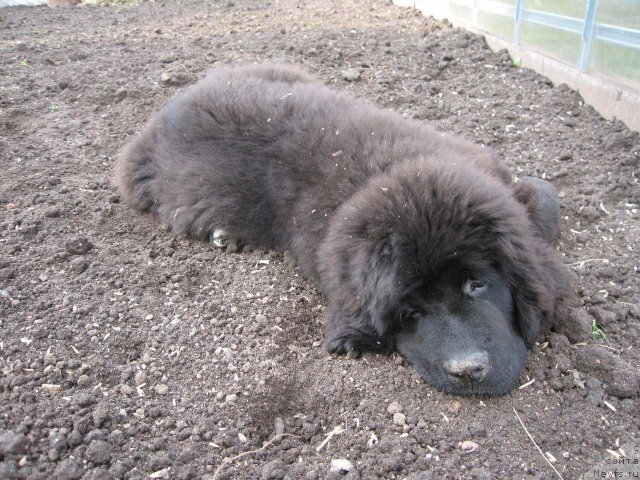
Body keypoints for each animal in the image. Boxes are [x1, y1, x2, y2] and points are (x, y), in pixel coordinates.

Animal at [117, 62, 572, 394]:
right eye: (410, 312)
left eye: (477, 284)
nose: (468, 370)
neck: (392, 173)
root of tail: (169, 107)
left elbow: (542, 197)